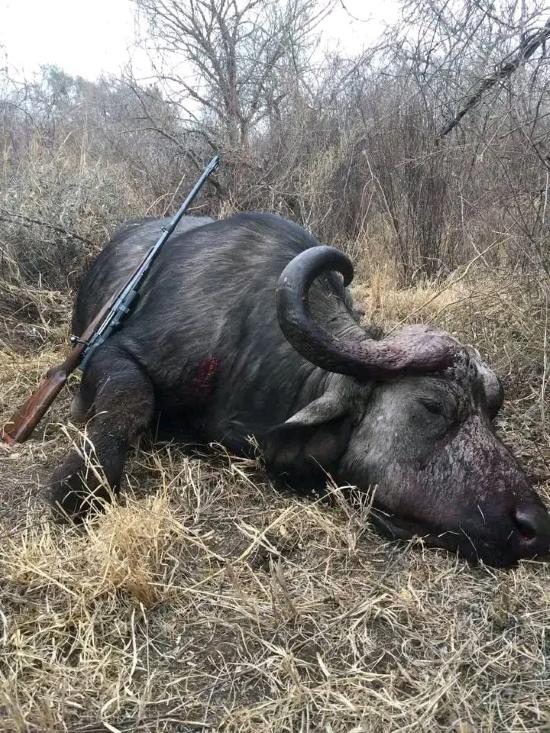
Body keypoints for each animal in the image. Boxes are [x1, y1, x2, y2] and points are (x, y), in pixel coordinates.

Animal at [50, 212, 550, 566]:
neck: (245, 336)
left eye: (492, 413)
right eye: (432, 406)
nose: (534, 527)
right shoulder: (118, 353)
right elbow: (129, 398)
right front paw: (80, 481)